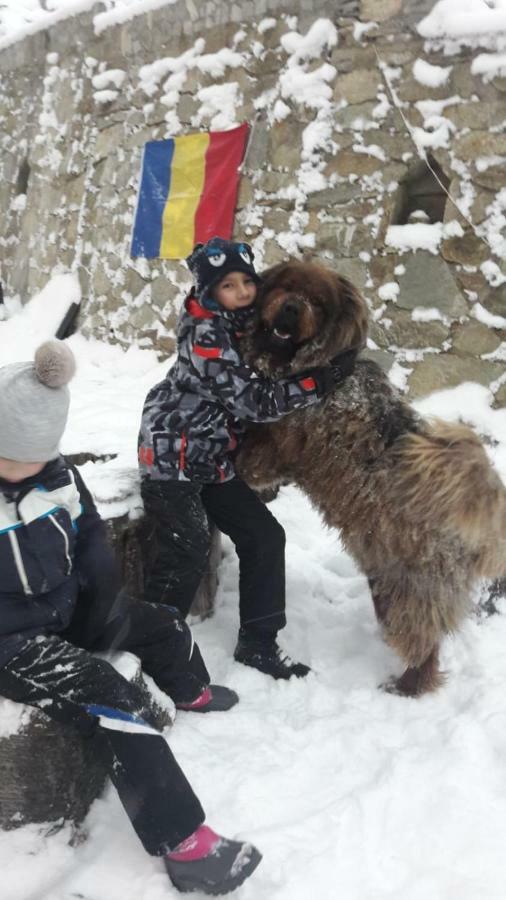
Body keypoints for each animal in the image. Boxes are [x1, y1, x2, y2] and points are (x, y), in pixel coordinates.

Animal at [237, 258, 506, 696]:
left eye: (317, 302)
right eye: (286, 286)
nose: (292, 308)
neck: (318, 368)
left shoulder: (282, 441)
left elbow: (254, 454)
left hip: (410, 593)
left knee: (424, 643)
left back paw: (407, 686)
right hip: (386, 579)